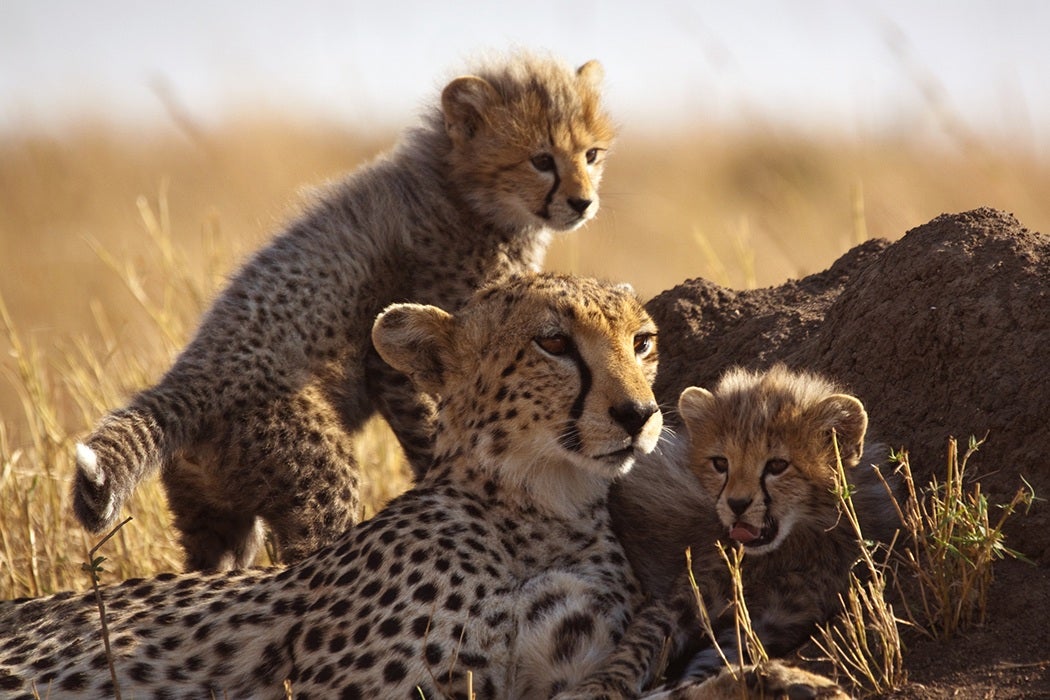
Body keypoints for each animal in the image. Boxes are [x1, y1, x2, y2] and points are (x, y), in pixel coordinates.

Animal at [71, 53, 613, 570]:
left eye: (591, 155)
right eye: (541, 159)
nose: (583, 202)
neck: (461, 191)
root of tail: (185, 378)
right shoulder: (395, 358)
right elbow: (432, 428)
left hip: (217, 520)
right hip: (316, 476)